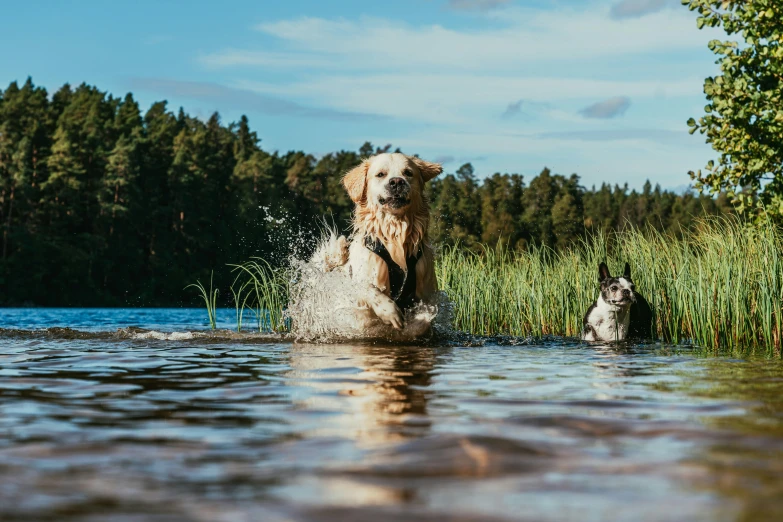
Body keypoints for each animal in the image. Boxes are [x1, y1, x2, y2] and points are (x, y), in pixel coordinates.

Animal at [316, 152, 444, 336]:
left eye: (408, 173)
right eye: (380, 174)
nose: (396, 182)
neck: (394, 233)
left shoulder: (426, 288)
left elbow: (424, 320)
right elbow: (368, 292)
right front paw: (389, 313)